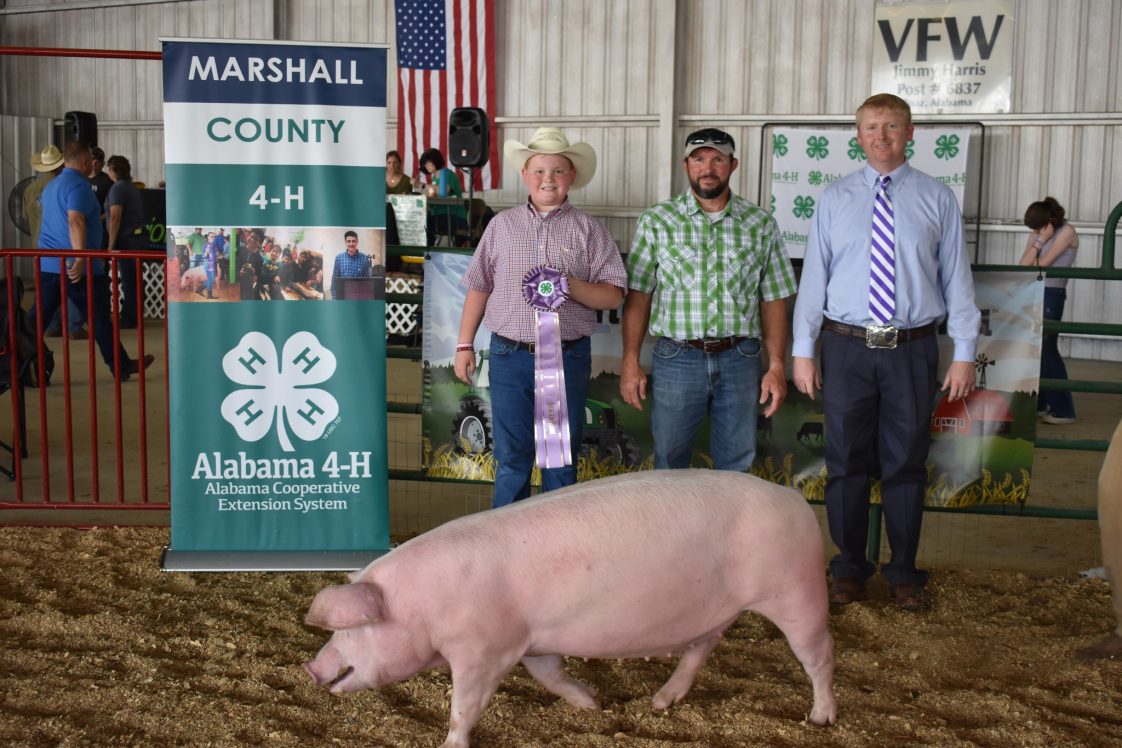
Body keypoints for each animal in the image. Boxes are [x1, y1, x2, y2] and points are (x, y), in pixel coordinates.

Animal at [302, 471, 839, 744]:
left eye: (354, 629)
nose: (310, 668)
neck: (427, 603)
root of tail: (794, 497)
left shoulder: (486, 650)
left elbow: (464, 707)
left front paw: (452, 743)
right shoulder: (531, 640)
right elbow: (551, 675)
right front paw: (592, 703)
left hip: (797, 591)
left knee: (821, 654)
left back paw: (821, 719)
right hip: (719, 609)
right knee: (701, 647)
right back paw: (659, 703)